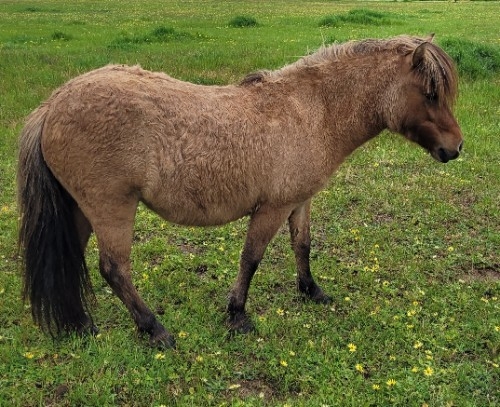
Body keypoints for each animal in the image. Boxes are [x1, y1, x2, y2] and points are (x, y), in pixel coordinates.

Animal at [17, 35, 462, 350]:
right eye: (430, 93)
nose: (455, 148)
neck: (310, 112)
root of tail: (53, 105)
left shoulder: (299, 201)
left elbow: (302, 246)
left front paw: (312, 291)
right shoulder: (271, 208)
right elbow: (251, 258)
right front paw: (237, 315)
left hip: (80, 209)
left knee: (72, 260)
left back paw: (80, 325)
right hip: (111, 206)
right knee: (113, 269)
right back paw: (155, 330)